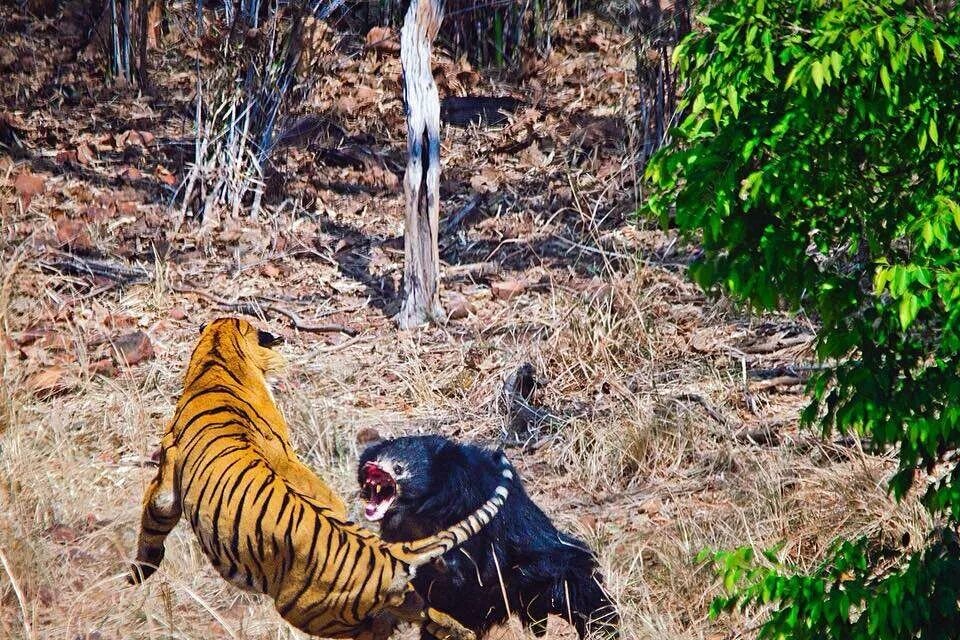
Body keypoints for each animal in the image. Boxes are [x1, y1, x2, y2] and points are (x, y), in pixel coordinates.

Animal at [133, 318, 516, 636]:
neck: (219, 355)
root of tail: (387, 553)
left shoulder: (166, 479)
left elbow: (154, 518)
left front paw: (140, 572)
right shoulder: (289, 458)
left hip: (308, 613)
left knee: (377, 629)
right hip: (390, 600)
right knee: (423, 611)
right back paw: (454, 628)